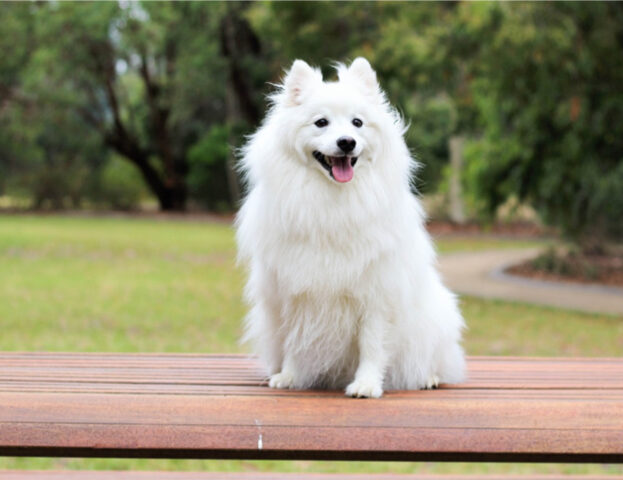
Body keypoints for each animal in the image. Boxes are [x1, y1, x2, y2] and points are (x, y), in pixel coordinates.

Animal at [236, 58, 466, 400]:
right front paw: (290, 376)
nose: (347, 142)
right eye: (321, 123)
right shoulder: (293, 292)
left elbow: (372, 345)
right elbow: (295, 340)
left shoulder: (376, 294)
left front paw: (366, 384)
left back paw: (429, 377)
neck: (334, 200)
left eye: (357, 123)